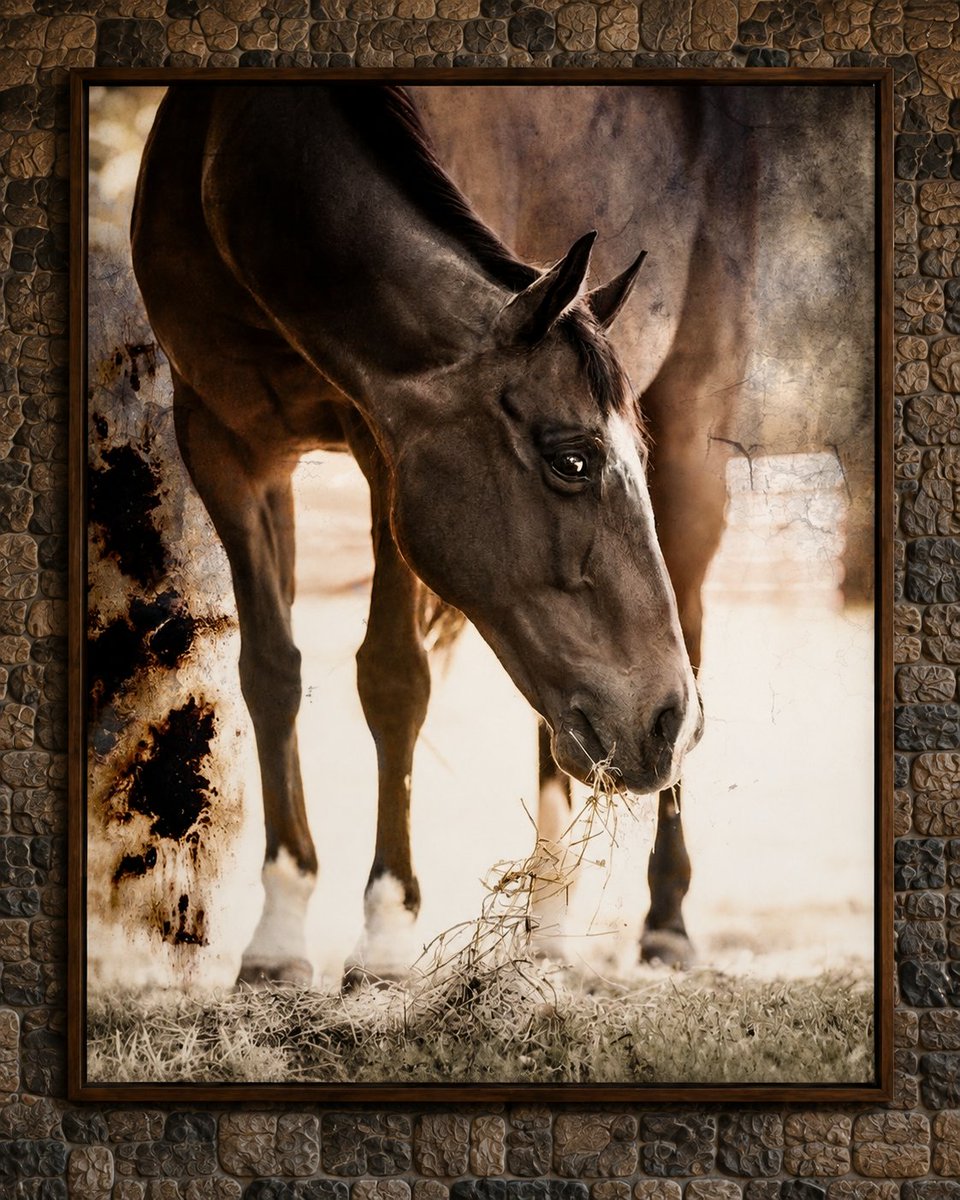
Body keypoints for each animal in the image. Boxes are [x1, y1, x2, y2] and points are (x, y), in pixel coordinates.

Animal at [131, 83, 706, 987]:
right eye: (572, 459)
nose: (665, 721)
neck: (240, 165)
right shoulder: (225, 445)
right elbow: (271, 672)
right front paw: (279, 933)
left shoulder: (382, 452)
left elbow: (393, 678)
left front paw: (387, 933)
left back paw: (652, 923)